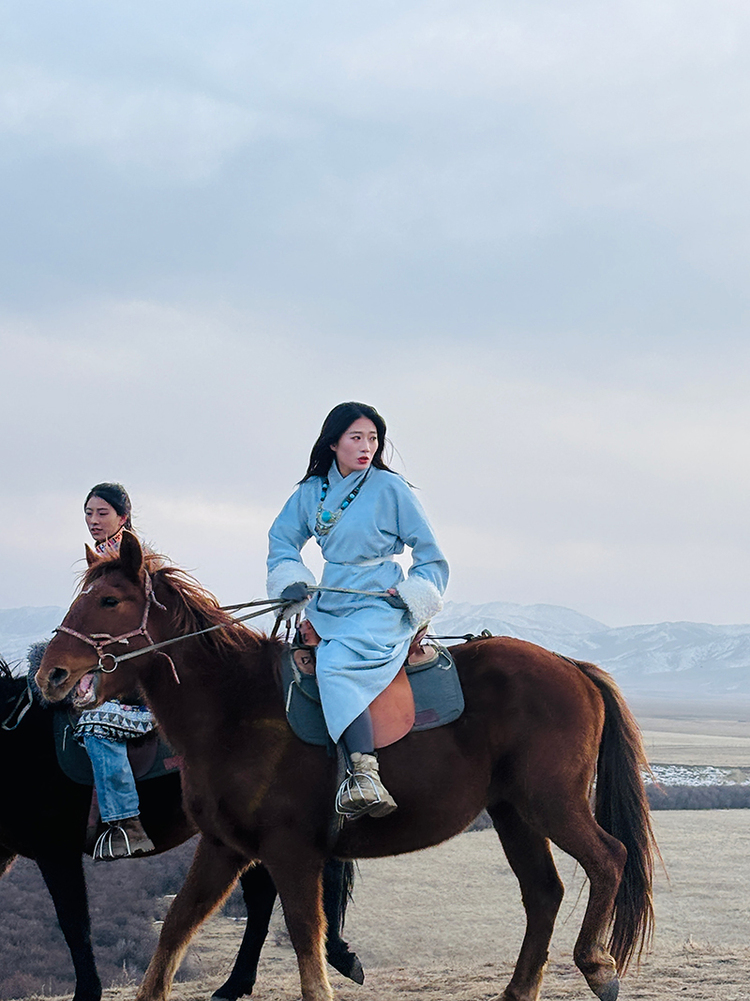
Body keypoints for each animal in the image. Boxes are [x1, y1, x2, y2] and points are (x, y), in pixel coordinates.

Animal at [35, 536, 656, 1001]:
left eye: (110, 600)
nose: (51, 675)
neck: (234, 707)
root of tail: (571, 666)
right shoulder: (224, 848)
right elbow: (174, 932)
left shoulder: (290, 851)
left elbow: (306, 943)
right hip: (513, 813)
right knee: (543, 892)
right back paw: (519, 990)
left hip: (551, 802)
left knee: (608, 857)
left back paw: (597, 966)